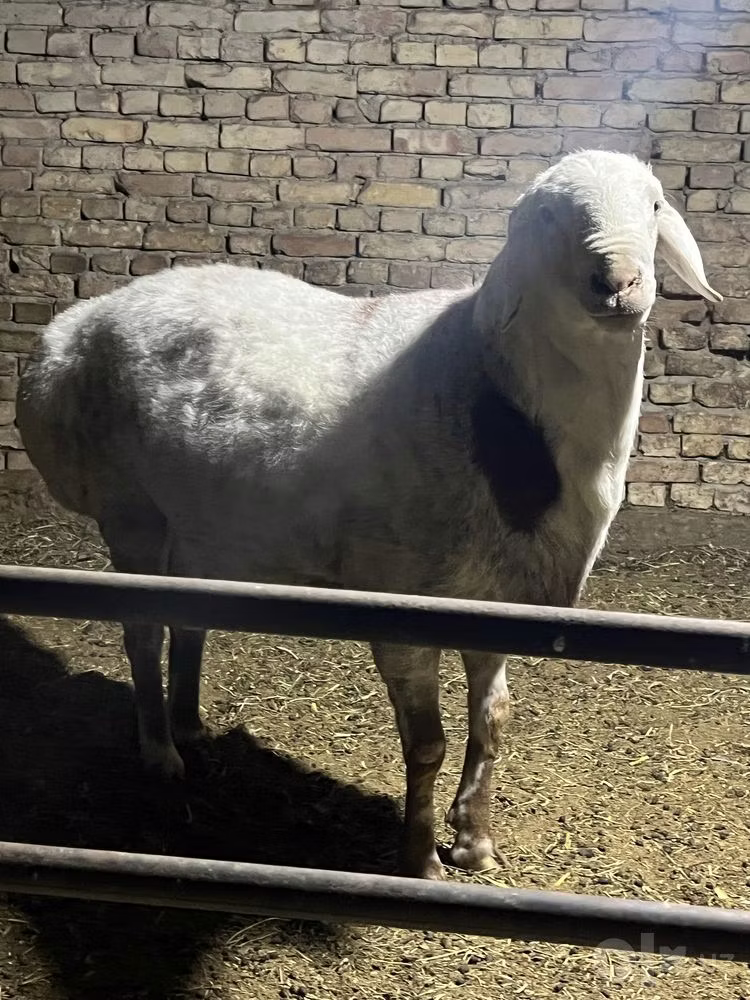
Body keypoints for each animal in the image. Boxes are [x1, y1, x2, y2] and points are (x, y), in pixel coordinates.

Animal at [17, 149, 721, 880]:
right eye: (550, 214)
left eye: (655, 205)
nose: (619, 282)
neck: (487, 392)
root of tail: (77, 322)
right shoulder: (403, 606)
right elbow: (428, 744)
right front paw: (421, 862)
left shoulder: (498, 600)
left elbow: (493, 722)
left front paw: (475, 842)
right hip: (131, 510)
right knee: (143, 631)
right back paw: (160, 752)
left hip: (199, 520)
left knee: (189, 617)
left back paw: (188, 725)